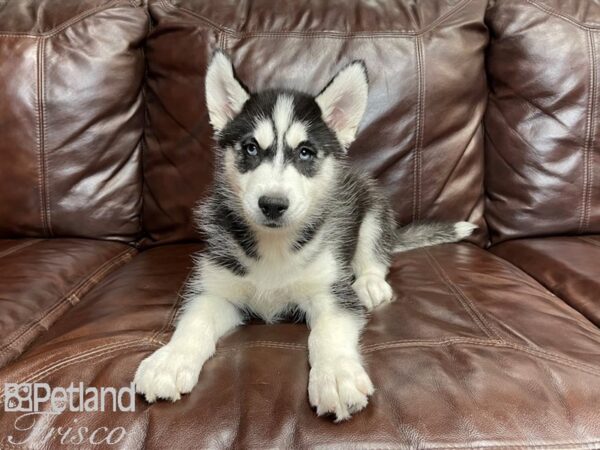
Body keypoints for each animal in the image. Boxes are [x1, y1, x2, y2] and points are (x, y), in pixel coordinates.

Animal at [134, 51, 476, 422]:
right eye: (251, 148)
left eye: (305, 152)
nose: (272, 204)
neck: (274, 246)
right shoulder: (217, 289)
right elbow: (194, 322)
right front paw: (169, 361)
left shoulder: (330, 291)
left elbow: (328, 333)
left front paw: (337, 375)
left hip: (372, 206)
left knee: (374, 254)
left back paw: (370, 283)